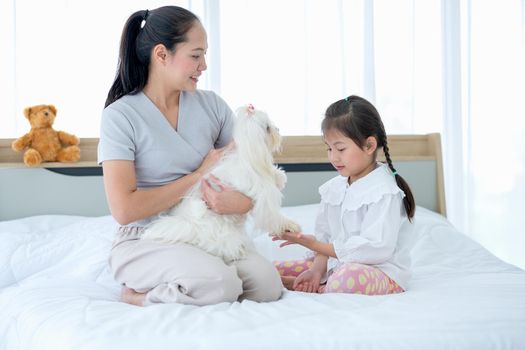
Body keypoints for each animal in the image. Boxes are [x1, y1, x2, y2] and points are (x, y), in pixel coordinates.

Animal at [141, 105, 300, 262]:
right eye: (267, 127)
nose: (277, 129)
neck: (248, 158)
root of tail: (191, 225)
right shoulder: (264, 197)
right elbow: (273, 216)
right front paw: (289, 225)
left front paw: (279, 176)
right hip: (217, 227)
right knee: (219, 245)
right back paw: (236, 250)